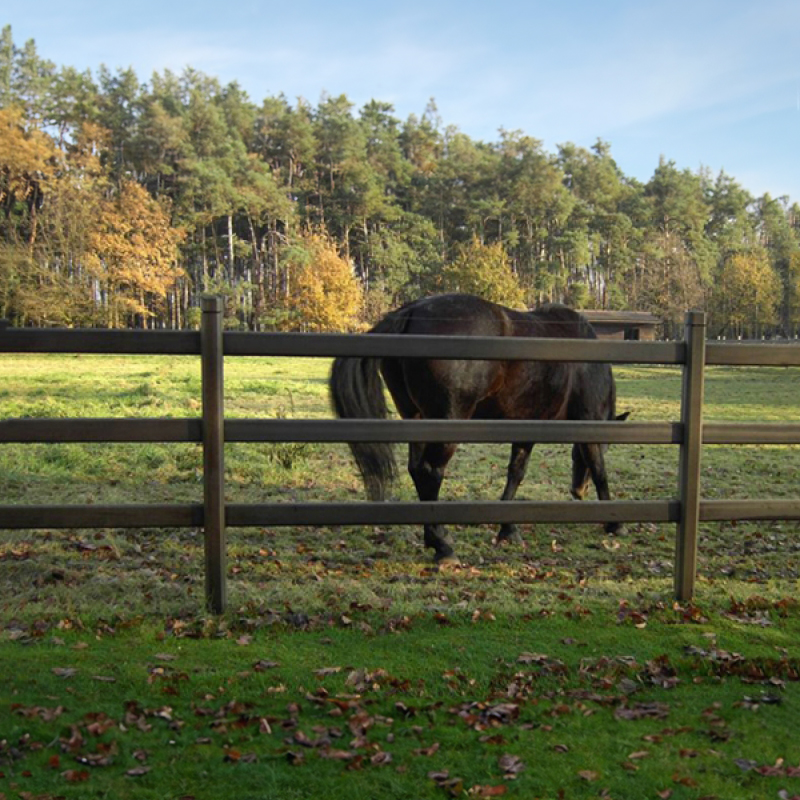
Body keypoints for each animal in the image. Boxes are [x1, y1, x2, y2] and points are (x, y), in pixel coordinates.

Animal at [330, 294, 624, 564]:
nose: (578, 490)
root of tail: (410, 311)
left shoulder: (527, 429)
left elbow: (516, 474)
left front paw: (507, 529)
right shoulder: (589, 424)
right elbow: (600, 469)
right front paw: (614, 523)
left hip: (415, 417)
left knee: (417, 470)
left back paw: (435, 537)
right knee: (430, 472)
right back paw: (442, 547)